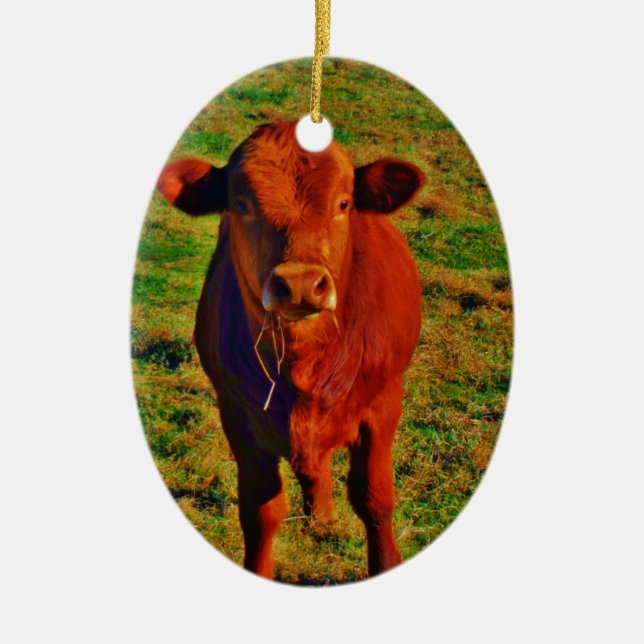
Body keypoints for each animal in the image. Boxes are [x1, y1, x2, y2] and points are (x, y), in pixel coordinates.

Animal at [157, 121, 425, 580]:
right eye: (241, 204)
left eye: (344, 202)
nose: (300, 283)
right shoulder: (238, 417)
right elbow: (260, 511)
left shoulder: (384, 404)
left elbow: (375, 500)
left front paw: (386, 562)